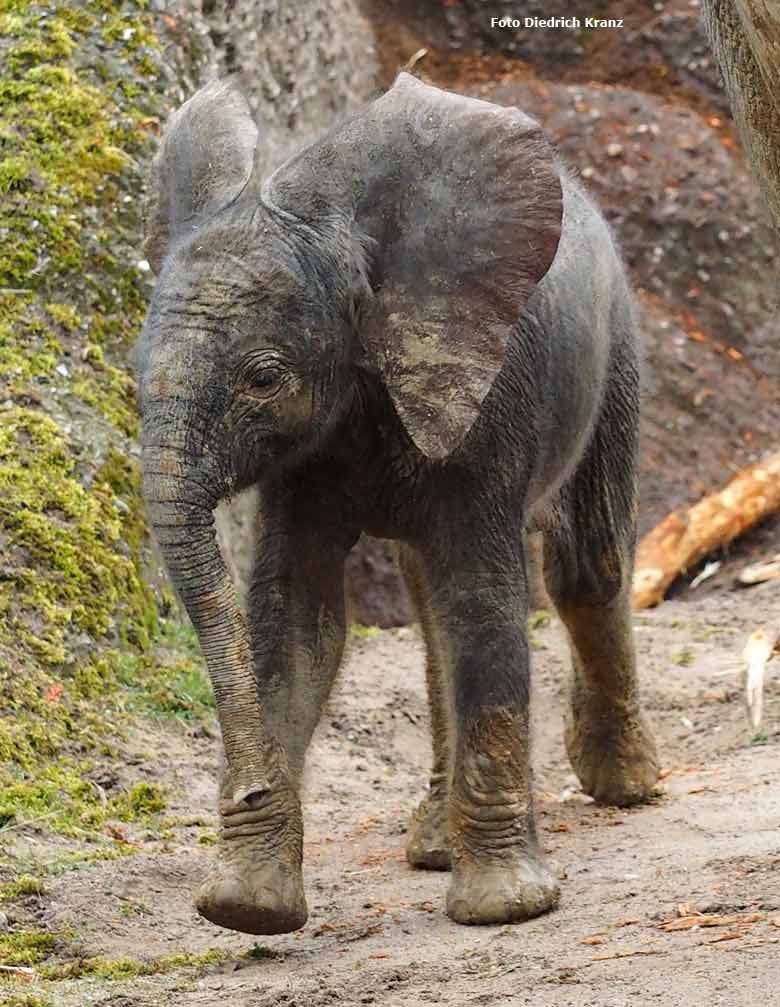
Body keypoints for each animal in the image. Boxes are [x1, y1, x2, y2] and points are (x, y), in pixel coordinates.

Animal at [135, 74, 660, 930]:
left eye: (263, 377)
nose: (249, 785)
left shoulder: (491, 400)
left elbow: (483, 601)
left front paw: (505, 908)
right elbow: (295, 618)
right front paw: (249, 907)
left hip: (616, 339)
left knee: (588, 562)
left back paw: (626, 786)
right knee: (429, 605)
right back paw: (437, 843)